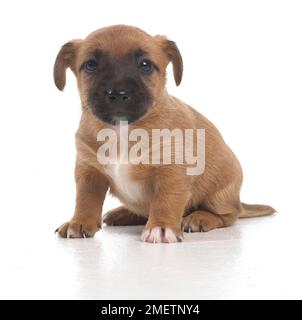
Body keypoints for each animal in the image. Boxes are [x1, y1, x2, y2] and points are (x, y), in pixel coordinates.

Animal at [53, 25, 274, 242]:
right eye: (91, 64)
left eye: (145, 65)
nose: (118, 93)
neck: (123, 130)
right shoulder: (89, 171)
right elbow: (85, 200)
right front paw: (79, 222)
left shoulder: (171, 170)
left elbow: (165, 200)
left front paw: (161, 227)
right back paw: (124, 213)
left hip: (219, 195)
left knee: (228, 216)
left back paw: (200, 217)